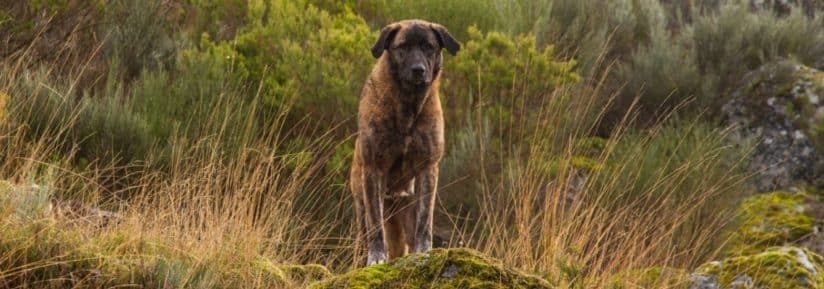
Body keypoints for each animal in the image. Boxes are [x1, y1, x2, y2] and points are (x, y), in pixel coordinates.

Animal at [348, 19, 460, 264]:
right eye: (403, 47)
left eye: (429, 47)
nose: (418, 70)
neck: (408, 105)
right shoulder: (373, 169)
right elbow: (376, 227)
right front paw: (377, 257)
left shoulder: (428, 168)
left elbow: (425, 222)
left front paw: (424, 251)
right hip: (362, 210)